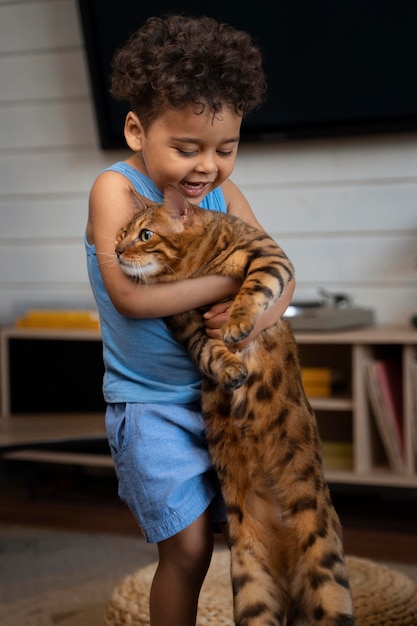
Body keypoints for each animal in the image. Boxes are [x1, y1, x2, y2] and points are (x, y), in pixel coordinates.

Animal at [114, 185, 354, 624]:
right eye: (122, 232)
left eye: (145, 235)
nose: (118, 250)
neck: (192, 272)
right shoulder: (184, 320)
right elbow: (207, 351)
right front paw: (230, 370)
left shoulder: (268, 254)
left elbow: (254, 288)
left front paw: (238, 323)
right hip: (250, 582)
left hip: (327, 579)